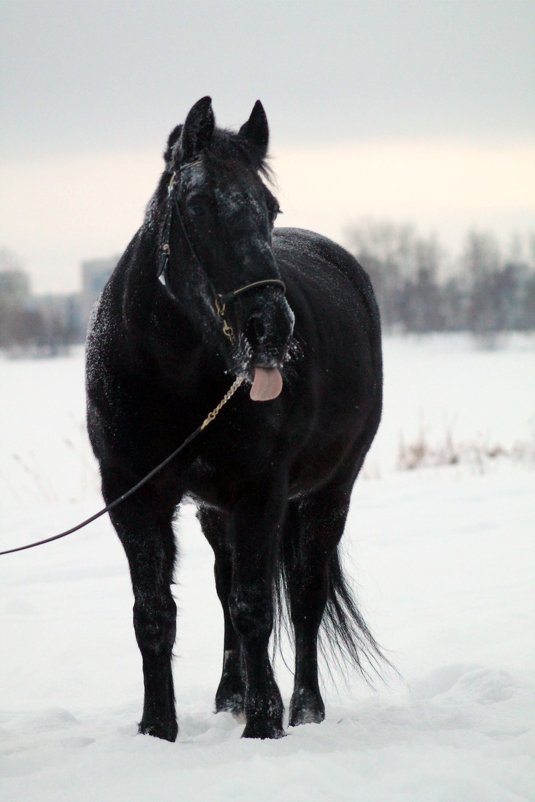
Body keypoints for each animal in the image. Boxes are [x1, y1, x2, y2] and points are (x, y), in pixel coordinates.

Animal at [86, 97, 384, 740]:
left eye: (270, 208)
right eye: (198, 204)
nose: (271, 327)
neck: (173, 379)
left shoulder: (259, 493)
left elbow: (256, 607)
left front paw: (265, 724)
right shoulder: (132, 495)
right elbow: (155, 612)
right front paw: (159, 728)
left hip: (330, 492)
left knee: (305, 595)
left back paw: (305, 709)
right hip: (213, 510)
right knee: (225, 588)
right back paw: (231, 695)